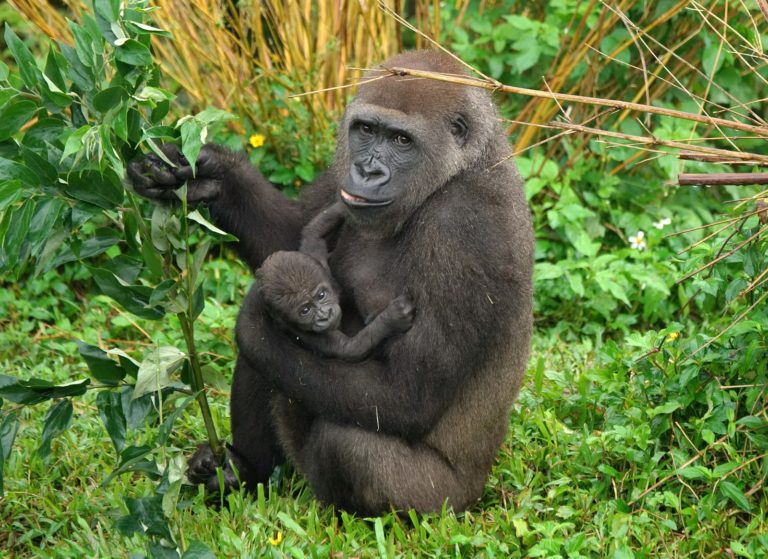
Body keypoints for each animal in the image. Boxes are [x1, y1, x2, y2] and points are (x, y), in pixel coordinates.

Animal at [244, 202, 414, 364]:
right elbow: (350, 349)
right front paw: (391, 319)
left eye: (321, 295)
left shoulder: (315, 260)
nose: (325, 315)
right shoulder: (305, 333)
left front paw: (345, 204)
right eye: (305, 310)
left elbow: (313, 233)